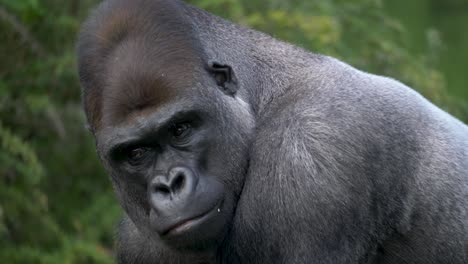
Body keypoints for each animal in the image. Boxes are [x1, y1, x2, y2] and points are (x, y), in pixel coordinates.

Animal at [77, 0, 468, 262]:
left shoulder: (314, 157)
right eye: (136, 153)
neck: (261, 97)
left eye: (181, 129)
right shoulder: (139, 243)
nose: (170, 185)